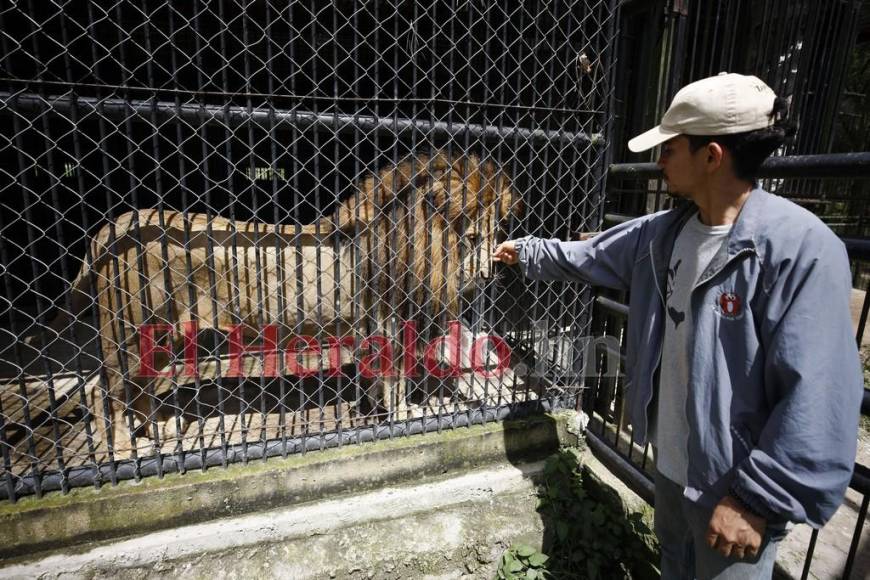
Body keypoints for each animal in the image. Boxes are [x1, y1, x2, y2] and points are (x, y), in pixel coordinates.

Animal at [58, 152, 528, 446]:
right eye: (473, 236)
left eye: (496, 233)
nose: (489, 273)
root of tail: (110, 228)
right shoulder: (387, 321)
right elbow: (394, 381)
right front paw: (401, 417)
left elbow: (376, 379)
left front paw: (371, 408)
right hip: (133, 329)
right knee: (104, 391)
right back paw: (124, 448)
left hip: (160, 333)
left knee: (136, 388)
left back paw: (160, 430)